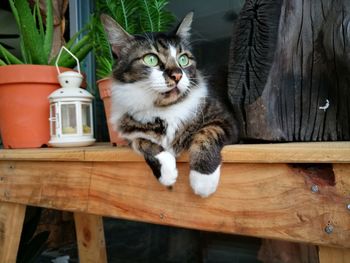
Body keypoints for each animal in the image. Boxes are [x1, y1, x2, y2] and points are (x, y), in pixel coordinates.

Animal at [100, 12, 239, 198]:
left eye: (183, 59)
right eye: (151, 59)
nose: (177, 75)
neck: (164, 109)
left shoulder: (224, 119)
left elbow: (206, 134)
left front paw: (203, 180)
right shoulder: (129, 135)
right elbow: (142, 142)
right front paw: (166, 172)